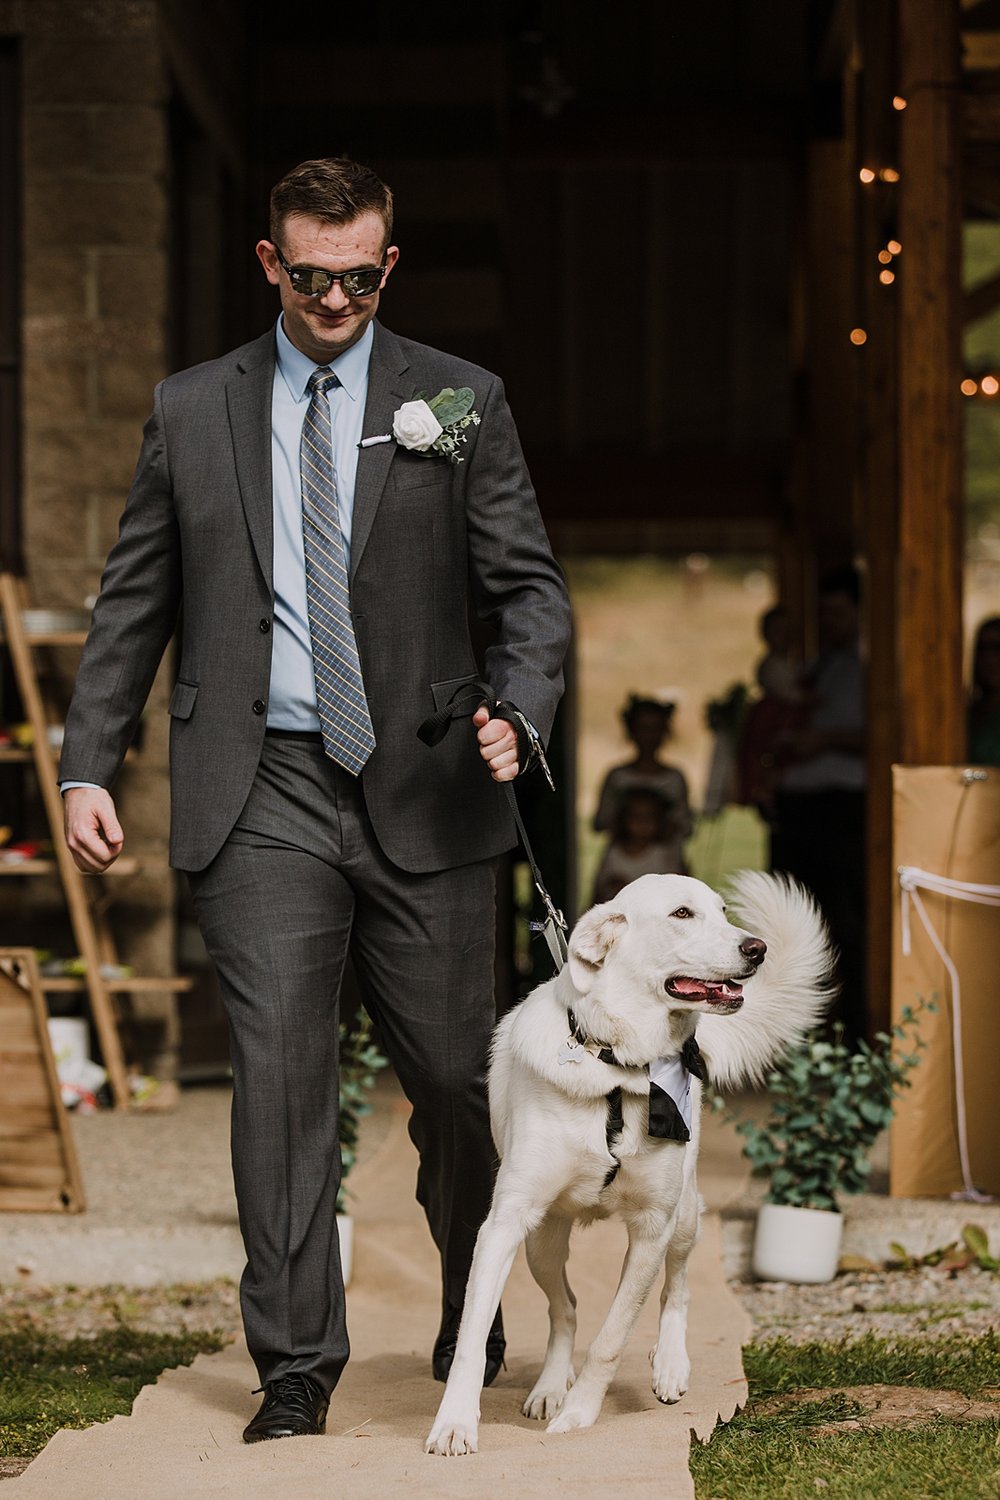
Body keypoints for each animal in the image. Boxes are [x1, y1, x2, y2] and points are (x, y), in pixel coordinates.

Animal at [425, 870, 833, 1452]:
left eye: (722, 910)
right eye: (682, 913)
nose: (756, 948)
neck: (618, 1066)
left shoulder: (651, 1228)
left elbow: (612, 1337)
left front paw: (579, 1415)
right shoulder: (505, 1223)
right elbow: (473, 1337)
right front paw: (456, 1423)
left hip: (682, 1218)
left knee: (678, 1287)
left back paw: (669, 1366)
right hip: (542, 1243)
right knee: (565, 1307)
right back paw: (550, 1386)